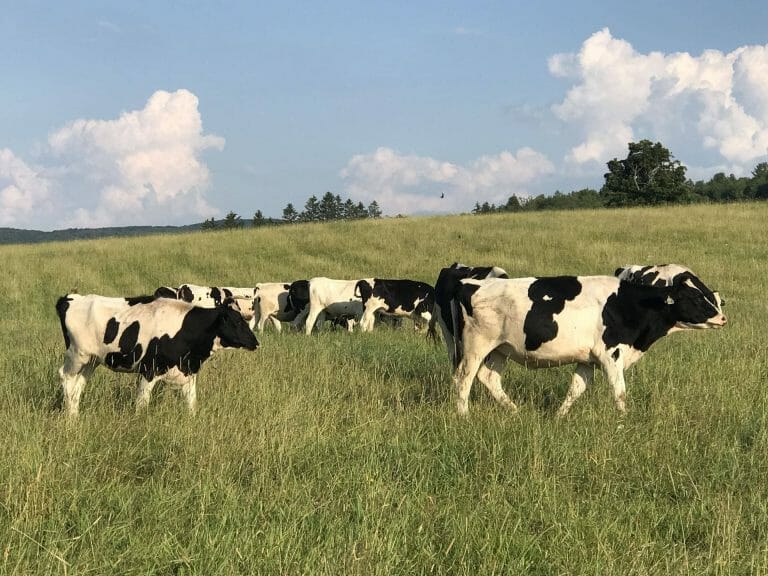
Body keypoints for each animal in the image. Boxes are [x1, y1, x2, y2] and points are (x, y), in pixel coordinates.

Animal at [55, 293, 259, 417]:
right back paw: (70, 418)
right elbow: (142, 404)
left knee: (78, 385)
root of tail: (71, 298)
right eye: (236, 321)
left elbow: (192, 405)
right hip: (76, 356)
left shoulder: (188, 373)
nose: (256, 342)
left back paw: (75, 416)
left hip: (91, 361)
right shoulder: (149, 370)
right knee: (65, 378)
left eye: (244, 319)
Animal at [448, 274, 727, 416]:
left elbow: (576, 388)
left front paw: (558, 416)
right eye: (694, 298)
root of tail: (471, 283)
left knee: (488, 377)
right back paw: (464, 416)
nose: (723, 318)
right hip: (476, 346)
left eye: (710, 295)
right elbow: (619, 391)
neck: (629, 303)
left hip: (500, 349)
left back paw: (515, 411)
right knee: (463, 379)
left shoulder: (587, 360)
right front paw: (624, 422)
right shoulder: (611, 354)